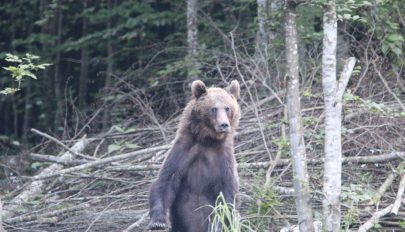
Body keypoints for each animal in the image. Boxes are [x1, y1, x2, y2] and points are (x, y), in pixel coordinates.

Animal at [150, 80, 241, 232]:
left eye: (227, 108)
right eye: (213, 109)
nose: (224, 125)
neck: (207, 140)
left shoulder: (223, 159)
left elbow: (226, 195)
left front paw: (218, 225)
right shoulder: (183, 152)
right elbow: (166, 181)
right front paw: (158, 222)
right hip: (180, 226)